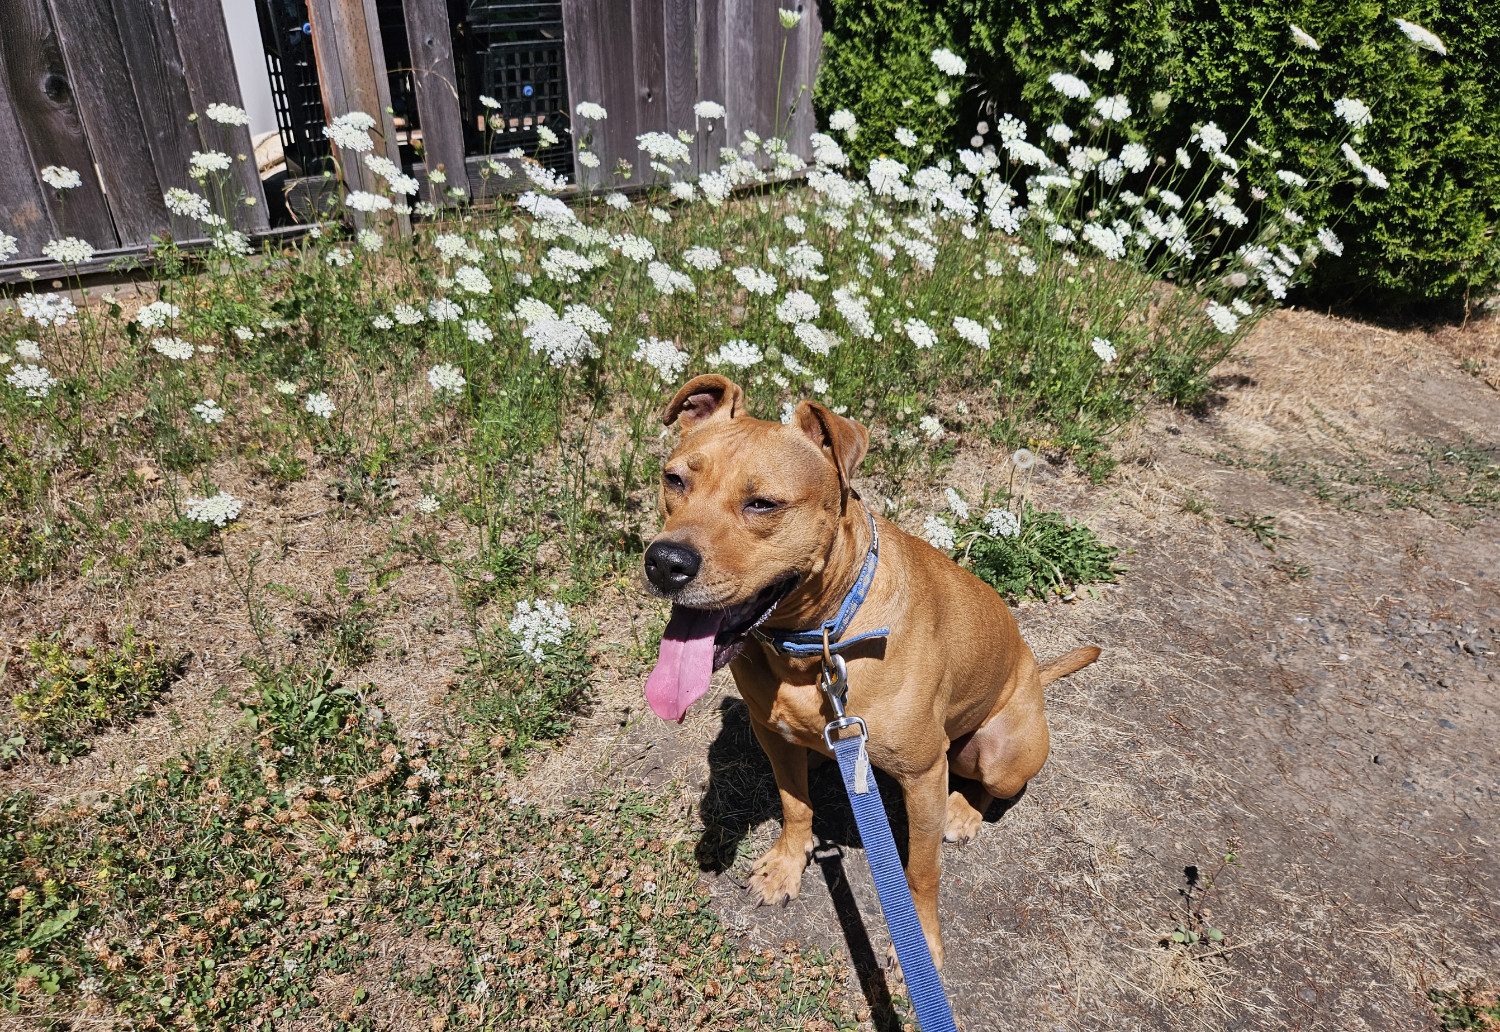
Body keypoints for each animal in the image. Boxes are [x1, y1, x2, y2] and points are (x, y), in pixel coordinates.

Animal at [645, 376, 1104, 966]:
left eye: (762, 503)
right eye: (674, 479)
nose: (665, 562)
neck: (817, 640)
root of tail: (1033, 674)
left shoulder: (924, 776)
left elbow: (923, 872)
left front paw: (922, 942)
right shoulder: (775, 739)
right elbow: (795, 807)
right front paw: (786, 867)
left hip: (999, 753)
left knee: (993, 787)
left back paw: (964, 812)